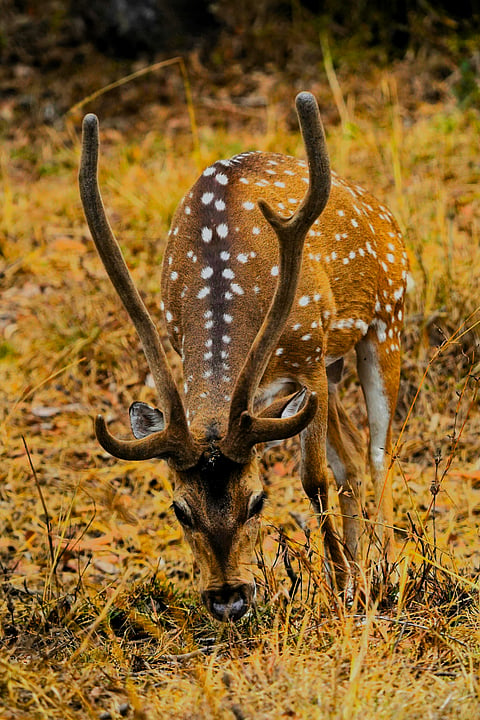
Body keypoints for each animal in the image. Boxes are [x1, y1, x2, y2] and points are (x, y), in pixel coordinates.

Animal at [79, 91, 408, 622]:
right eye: (179, 509)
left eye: (258, 501)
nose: (229, 599)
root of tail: (382, 211)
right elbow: (332, 469)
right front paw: (346, 583)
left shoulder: (308, 358)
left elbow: (314, 478)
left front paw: (341, 589)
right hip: (333, 368)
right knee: (354, 453)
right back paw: (364, 569)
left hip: (386, 321)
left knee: (380, 451)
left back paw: (385, 572)